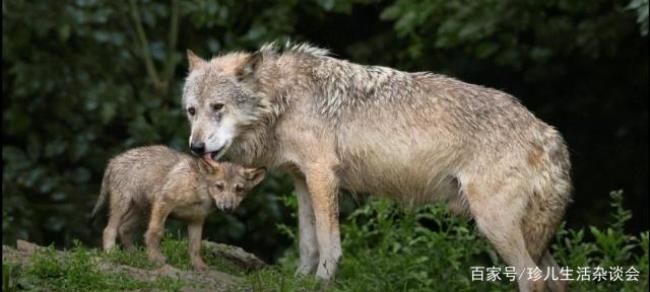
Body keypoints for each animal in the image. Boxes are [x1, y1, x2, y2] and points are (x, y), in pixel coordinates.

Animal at [90, 145, 264, 270]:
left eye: (239, 189)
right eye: (219, 186)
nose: (228, 208)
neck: (200, 191)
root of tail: (113, 160)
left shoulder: (196, 220)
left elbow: (195, 246)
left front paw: (199, 266)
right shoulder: (163, 204)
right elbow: (155, 233)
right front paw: (155, 259)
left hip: (143, 212)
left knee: (124, 228)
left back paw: (134, 256)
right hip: (123, 205)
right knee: (109, 229)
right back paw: (112, 253)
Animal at [181, 41, 568, 292]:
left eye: (218, 107)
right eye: (192, 111)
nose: (196, 148)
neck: (281, 99)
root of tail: (547, 132)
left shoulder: (323, 174)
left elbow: (328, 243)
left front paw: (322, 282)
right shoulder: (302, 179)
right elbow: (308, 242)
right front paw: (300, 280)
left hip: (493, 223)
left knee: (533, 279)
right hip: (525, 232)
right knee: (556, 277)